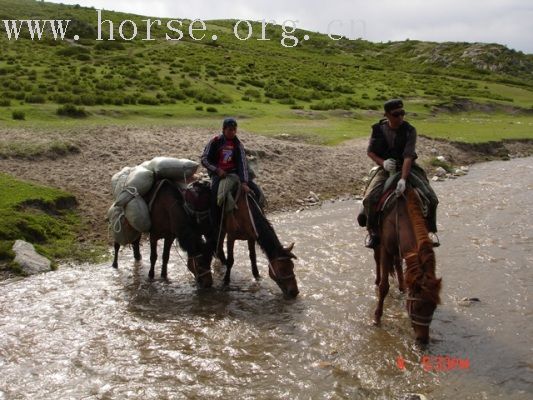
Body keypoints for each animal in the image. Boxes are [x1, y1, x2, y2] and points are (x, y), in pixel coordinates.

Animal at [370, 188, 440, 344]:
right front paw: (377, 318)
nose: (423, 340)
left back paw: (402, 287)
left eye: (434, 308)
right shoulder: (386, 249)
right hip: (378, 242)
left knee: (397, 264)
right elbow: (384, 287)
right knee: (377, 259)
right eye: (417, 307)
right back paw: (377, 280)